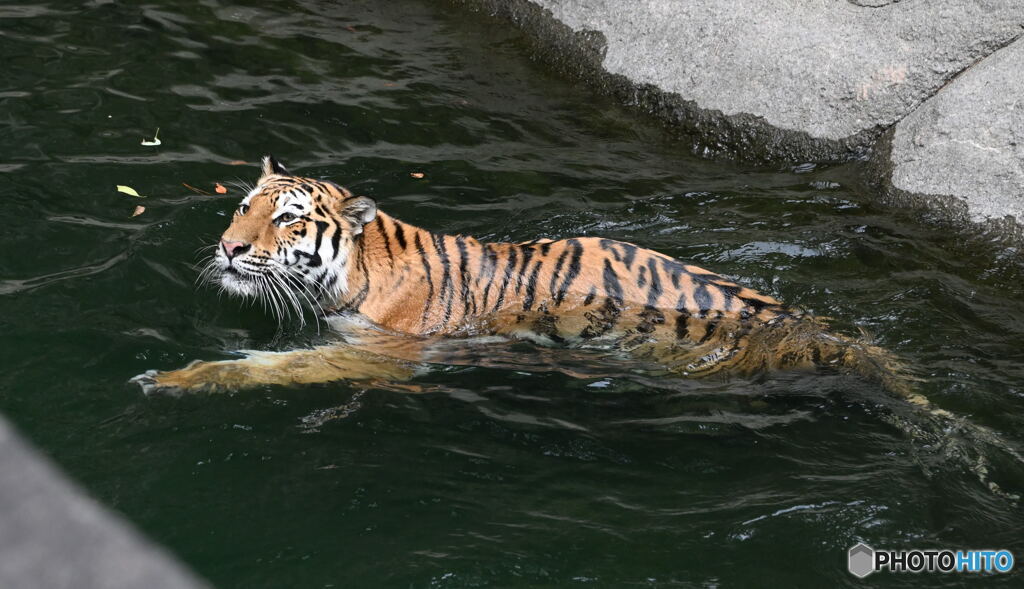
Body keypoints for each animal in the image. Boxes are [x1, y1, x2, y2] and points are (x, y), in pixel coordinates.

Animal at [132, 155, 1019, 497]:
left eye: (285, 220)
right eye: (242, 206)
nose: (228, 246)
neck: (357, 267)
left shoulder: (379, 357)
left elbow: (265, 368)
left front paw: (168, 378)